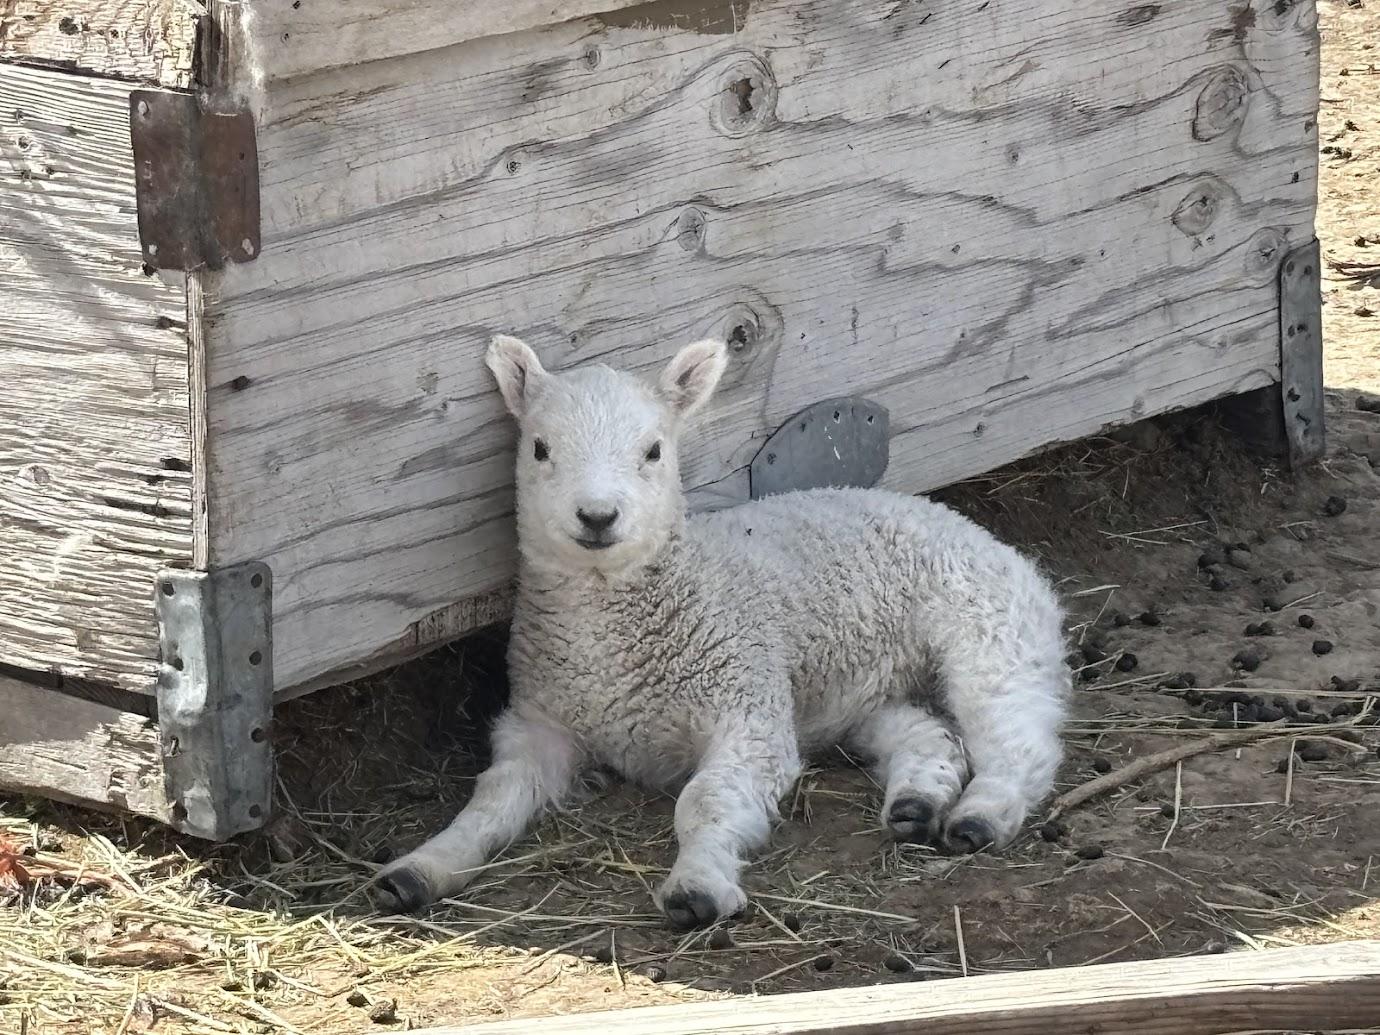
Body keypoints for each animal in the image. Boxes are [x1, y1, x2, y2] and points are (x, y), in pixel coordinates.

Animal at [376, 335, 1070, 929]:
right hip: (856, 692)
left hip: (991, 632)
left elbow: (706, 799)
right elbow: (492, 799)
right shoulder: (539, 722)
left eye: (654, 451)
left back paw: (981, 816)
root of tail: (958, 518)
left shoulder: (747, 701)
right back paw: (916, 803)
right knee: (929, 733)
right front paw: (420, 868)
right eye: (540, 449)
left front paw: (697, 888)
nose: (597, 517)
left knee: (1017, 739)